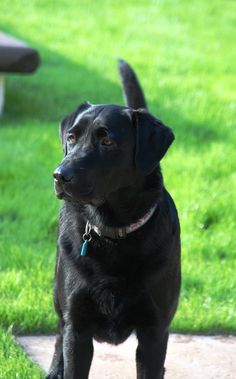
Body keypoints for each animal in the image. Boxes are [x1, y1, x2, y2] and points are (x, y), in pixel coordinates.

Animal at [47, 60, 181, 378]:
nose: (59, 175)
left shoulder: (155, 333)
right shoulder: (78, 329)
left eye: (107, 140)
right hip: (59, 295)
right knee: (58, 330)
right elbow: (70, 349)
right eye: (71, 138)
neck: (113, 232)